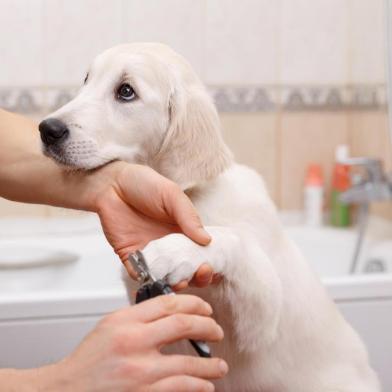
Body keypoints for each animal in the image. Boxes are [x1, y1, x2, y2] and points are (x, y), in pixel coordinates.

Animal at [41, 43, 382, 392]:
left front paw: (175, 251)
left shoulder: (263, 316)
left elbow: (232, 239)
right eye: (86, 80)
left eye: (126, 91)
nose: (47, 129)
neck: (194, 195)